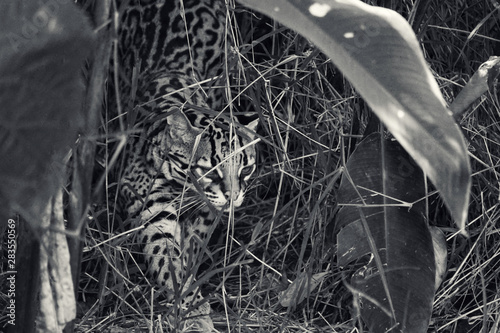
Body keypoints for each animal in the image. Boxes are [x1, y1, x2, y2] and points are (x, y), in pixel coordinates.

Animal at [110, 0, 258, 328]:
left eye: (246, 169)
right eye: (211, 170)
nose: (234, 197)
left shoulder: (206, 212)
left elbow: (191, 247)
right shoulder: (152, 210)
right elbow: (169, 263)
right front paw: (192, 310)